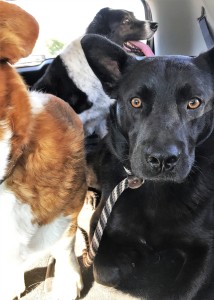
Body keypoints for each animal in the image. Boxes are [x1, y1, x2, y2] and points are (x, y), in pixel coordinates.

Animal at [80, 33, 214, 300]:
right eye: (136, 102)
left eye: (194, 103)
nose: (162, 159)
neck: (156, 188)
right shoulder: (99, 225)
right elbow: (104, 271)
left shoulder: (207, 247)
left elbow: (180, 292)